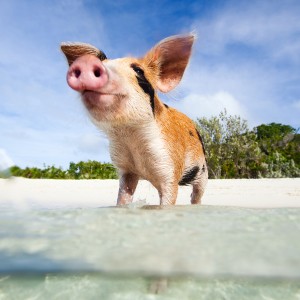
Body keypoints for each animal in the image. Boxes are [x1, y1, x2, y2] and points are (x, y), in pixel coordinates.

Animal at [60, 34, 206, 205]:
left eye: (138, 70)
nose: (86, 62)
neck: (130, 137)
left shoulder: (169, 165)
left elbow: (169, 197)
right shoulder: (126, 170)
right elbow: (124, 195)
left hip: (203, 170)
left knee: (197, 193)